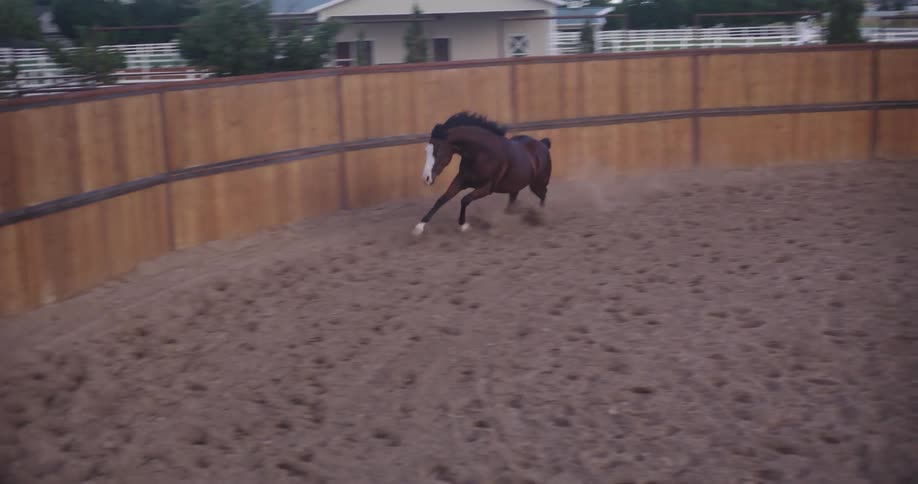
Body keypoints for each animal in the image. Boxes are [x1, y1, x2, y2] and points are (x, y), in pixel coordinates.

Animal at [412, 111, 553, 236]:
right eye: (427, 150)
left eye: (438, 151)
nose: (426, 178)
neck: (482, 154)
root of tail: (543, 144)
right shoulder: (460, 180)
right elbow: (442, 199)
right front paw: (419, 227)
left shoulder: (486, 188)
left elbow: (465, 199)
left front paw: (464, 225)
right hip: (515, 185)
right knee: (514, 198)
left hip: (537, 185)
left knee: (543, 194)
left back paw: (540, 216)